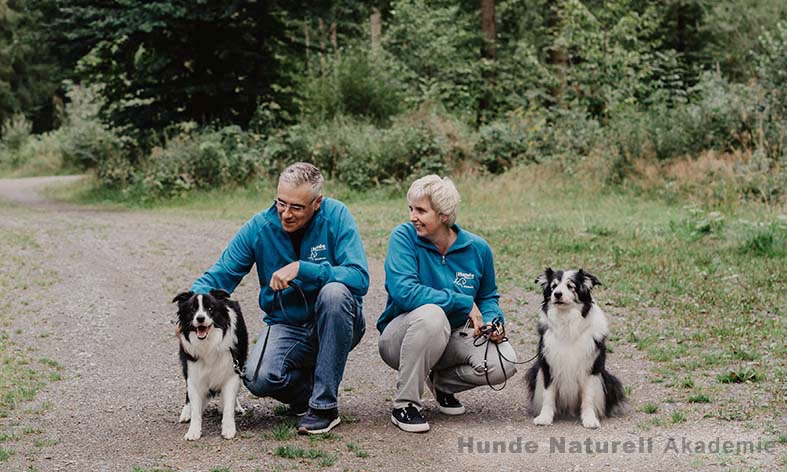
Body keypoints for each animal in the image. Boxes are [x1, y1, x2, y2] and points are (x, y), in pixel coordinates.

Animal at [173, 290, 248, 440]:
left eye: (210, 308)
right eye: (192, 309)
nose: (200, 318)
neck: (209, 344)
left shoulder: (232, 373)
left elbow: (229, 405)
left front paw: (229, 428)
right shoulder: (194, 374)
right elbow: (195, 408)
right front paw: (193, 431)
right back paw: (186, 412)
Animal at [528, 270, 624, 428]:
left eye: (570, 286)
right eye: (553, 286)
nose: (557, 294)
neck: (567, 323)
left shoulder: (591, 368)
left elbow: (588, 396)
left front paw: (589, 419)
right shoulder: (548, 365)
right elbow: (548, 394)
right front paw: (545, 417)